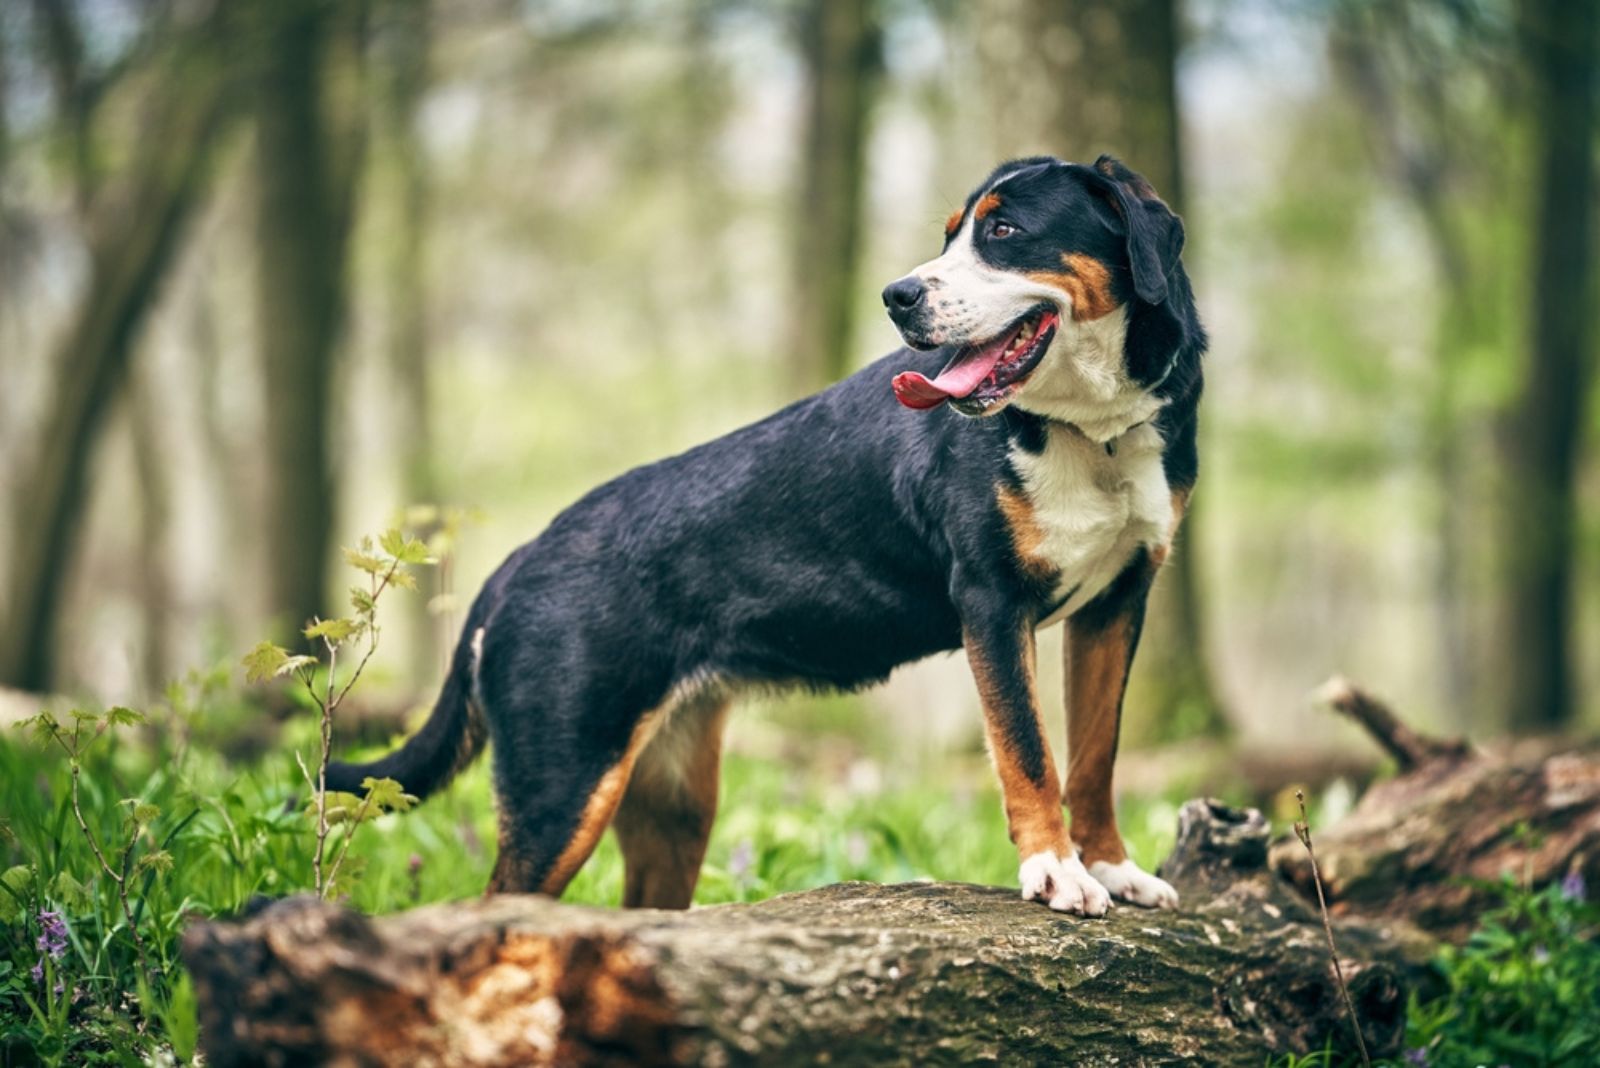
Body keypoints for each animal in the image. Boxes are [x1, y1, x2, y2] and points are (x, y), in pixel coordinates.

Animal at [328, 154, 1203, 914]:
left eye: (1005, 231)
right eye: (953, 234)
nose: (898, 295)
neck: (1093, 436)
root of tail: (518, 562)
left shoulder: (1117, 603)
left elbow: (1093, 756)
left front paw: (1112, 869)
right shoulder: (992, 602)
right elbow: (1028, 750)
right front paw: (1058, 871)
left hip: (672, 802)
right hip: (564, 788)